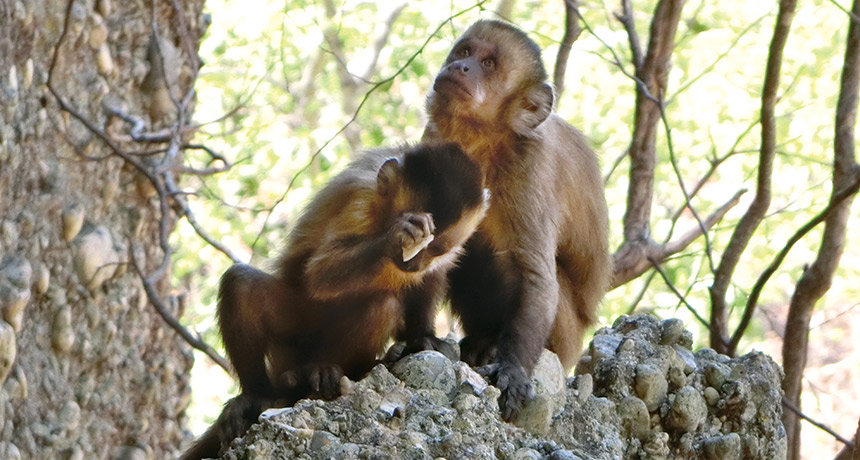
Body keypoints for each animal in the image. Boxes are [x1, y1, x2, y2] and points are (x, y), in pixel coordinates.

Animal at [180, 143, 489, 460]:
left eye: (437, 248)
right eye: (414, 238)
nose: (413, 262)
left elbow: (433, 277)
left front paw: (423, 337)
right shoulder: (360, 198)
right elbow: (319, 274)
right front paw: (396, 235)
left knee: (382, 306)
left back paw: (330, 370)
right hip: (292, 338)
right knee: (241, 283)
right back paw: (261, 395)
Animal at [423, 19, 612, 422]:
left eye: (489, 64)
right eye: (465, 52)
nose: (461, 67)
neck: (485, 143)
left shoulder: (528, 168)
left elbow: (535, 275)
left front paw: (512, 369)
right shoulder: (436, 144)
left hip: (567, 339)